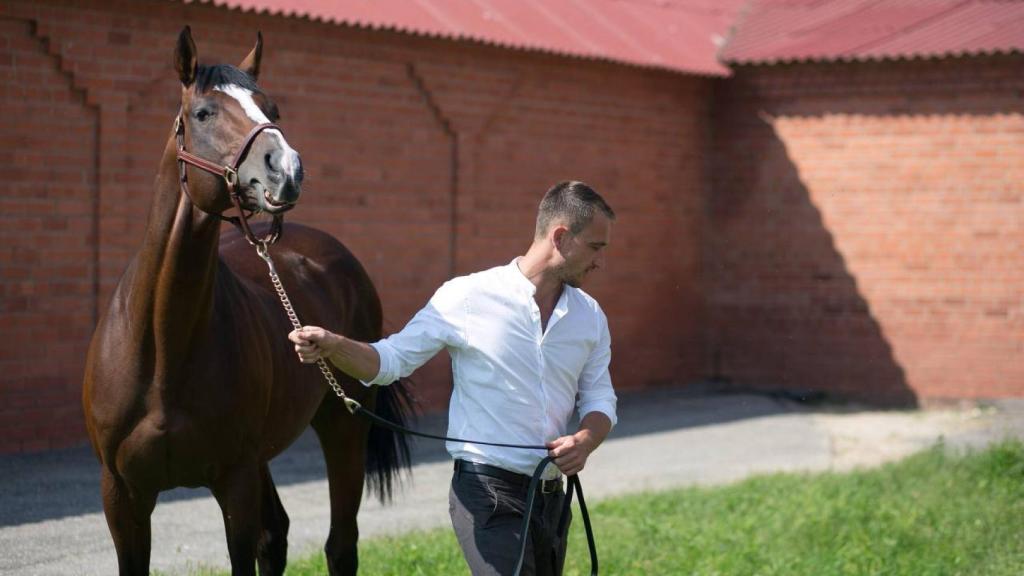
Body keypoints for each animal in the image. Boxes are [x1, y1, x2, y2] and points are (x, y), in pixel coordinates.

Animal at [81, 27, 411, 576]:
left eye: (271, 108)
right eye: (203, 113)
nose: (287, 169)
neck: (162, 348)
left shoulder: (233, 483)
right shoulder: (121, 496)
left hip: (343, 428)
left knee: (339, 544)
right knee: (276, 536)